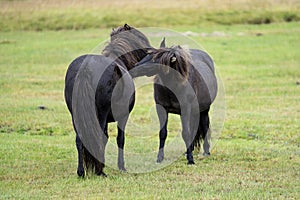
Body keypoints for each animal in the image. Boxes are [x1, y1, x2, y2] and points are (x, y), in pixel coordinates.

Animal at [64, 23, 151, 177]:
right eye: (141, 39)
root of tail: (86, 68)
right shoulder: (123, 117)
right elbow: (120, 139)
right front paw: (121, 166)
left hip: (77, 115)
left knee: (80, 139)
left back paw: (81, 172)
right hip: (101, 115)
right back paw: (99, 171)